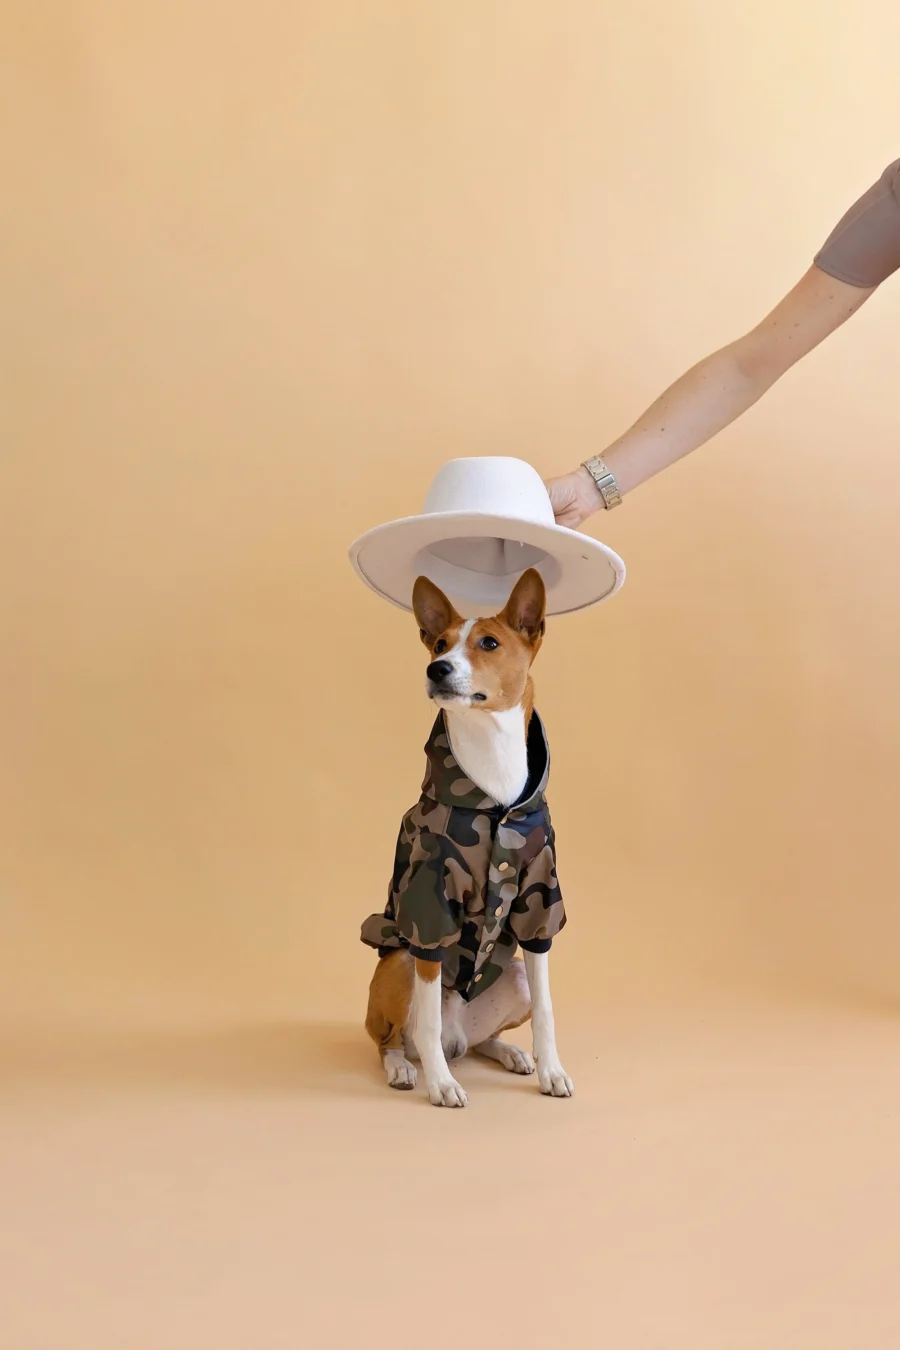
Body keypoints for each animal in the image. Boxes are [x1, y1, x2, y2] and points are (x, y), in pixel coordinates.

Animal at [361, 569, 574, 1107]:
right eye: (439, 643)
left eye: (489, 643)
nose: (437, 668)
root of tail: (461, 1038)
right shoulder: (431, 913)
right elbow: (427, 1023)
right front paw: (441, 1085)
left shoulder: (540, 904)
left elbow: (547, 1009)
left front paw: (552, 1070)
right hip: (399, 962)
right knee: (398, 1038)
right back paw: (407, 1067)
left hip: (512, 975)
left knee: (479, 1041)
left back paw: (509, 1053)